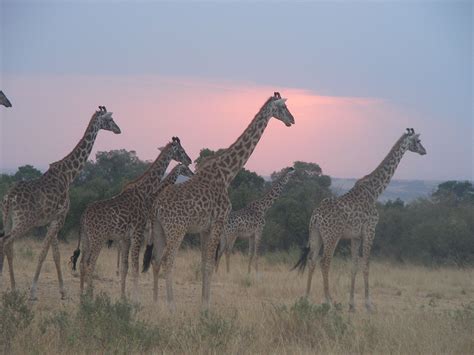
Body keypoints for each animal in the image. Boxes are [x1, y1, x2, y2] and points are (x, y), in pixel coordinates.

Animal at [0, 106, 122, 300]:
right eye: (110, 119)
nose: (119, 129)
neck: (68, 175)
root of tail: (9, 197)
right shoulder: (61, 216)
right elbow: (44, 253)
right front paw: (33, 292)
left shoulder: (52, 219)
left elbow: (55, 254)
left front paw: (63, 292)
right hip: (25, 221)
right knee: (6, 242)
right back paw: (14, 289)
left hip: (8, 218)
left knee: (3, 243)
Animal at [70, 137, 191, 300]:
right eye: (182, 151)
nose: (190, 161)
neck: (146, 192)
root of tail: (83, 217)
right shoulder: (138, 233)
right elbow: (136, 266)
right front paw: (136, 298)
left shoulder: (126, 237)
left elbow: (126, 267)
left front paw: (123, 297)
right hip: (98, 238)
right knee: (90, 263)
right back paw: (90, 295)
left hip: (86, 238)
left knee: (83, 263)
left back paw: (82, 294)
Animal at [143, 92, 294, 312]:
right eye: (283, 108)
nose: (292, 120)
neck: (227, 173)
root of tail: (156, 207)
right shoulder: (218, 222)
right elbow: (209, 264)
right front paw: (207, 306)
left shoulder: (204, 228)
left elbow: (203, 263)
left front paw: (202, 302)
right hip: (176, 229)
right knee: (167, 261)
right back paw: (171, 306)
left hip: (159, 229)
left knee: (155, 260)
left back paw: (155, 302)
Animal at [294, 129, 428, 312]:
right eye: (418, 140)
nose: (424, 151)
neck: (375, 191)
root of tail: (315, 217)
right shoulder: (370, 230)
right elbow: (366, 265)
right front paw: (368, 304)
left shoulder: (355, 236)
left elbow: (354, 266)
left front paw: (351, 304)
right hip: (332, 236)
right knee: (325, 261)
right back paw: (329, 302)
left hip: (316, 235)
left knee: (311, 260)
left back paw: (306, 299)